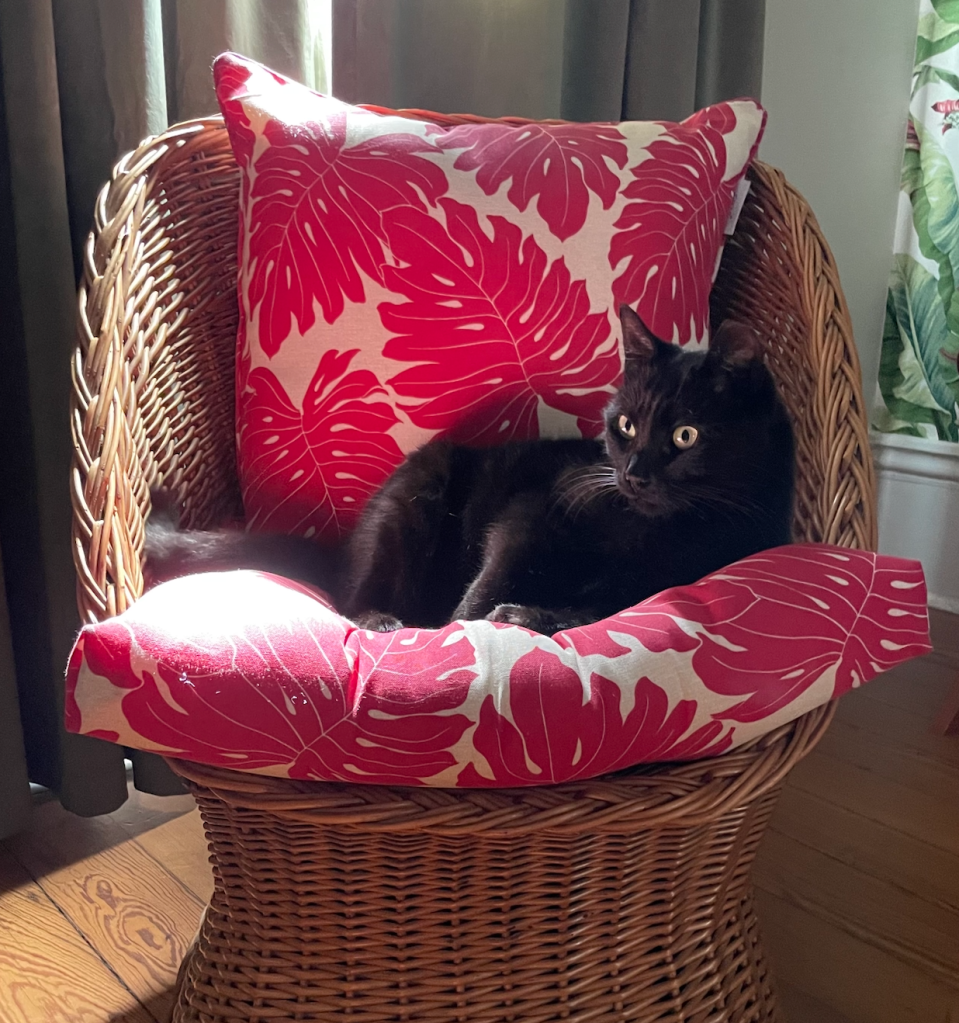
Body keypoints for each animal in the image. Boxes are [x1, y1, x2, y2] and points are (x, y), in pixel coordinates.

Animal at [146, 306, 795, 636]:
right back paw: (388, 621)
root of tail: (342, 547)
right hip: (413, 500)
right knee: (350, 598)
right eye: (627, 425)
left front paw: (530, 615)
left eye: (685, 435)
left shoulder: (655, 584)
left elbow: (591, 612)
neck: (657, 533)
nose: (633, 473)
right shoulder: (532, 514)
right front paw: (459, 631)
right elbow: (487, 583)